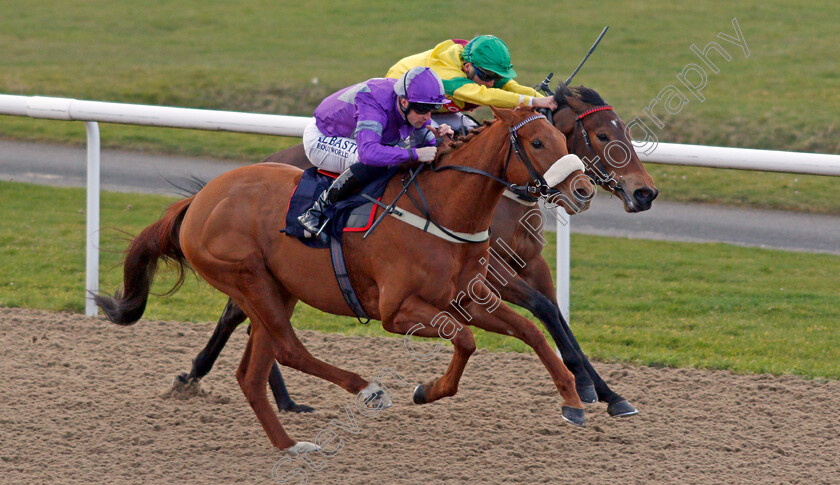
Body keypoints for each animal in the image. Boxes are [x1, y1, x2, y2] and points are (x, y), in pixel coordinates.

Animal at [95, 108, 596, 452]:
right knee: (289, 349)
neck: (441, 209)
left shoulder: (466, 298)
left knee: (252, 374)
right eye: (536, 142)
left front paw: (573, 399)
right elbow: (467, 340)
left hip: (277, 288)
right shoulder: (398, 312)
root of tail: (199, 200)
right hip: (249, 279)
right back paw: (366, 390)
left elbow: (530, 330)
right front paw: (426, 390)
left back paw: (290, 446)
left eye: (561, 136)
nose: (584, 189)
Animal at [176, 84, 656, 416]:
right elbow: (520, 321)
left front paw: (599, 393)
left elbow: (547, 322)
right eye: (599, 135)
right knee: (261, 328)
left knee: (249, 323)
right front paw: (594, 390)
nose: (645, 192)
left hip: (278, 281)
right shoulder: (433, 299)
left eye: (561, 139)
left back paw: (265, 394)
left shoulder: (509, 276)